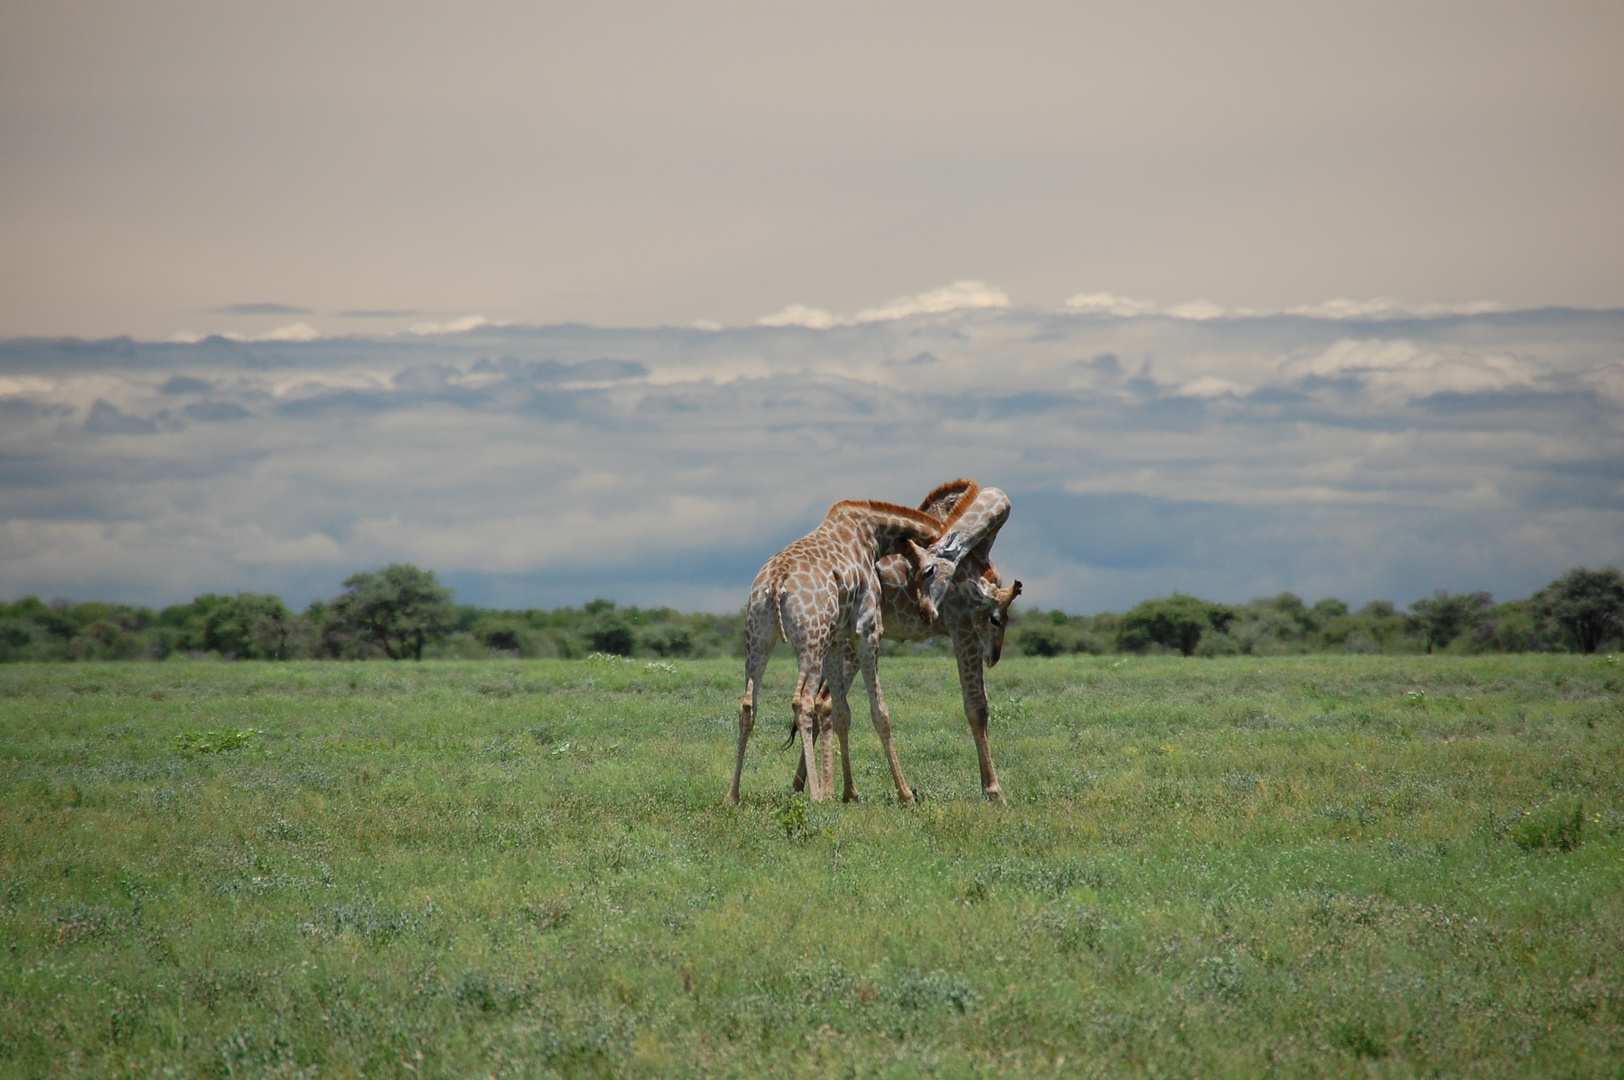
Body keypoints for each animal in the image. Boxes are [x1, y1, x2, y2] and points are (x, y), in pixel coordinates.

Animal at [795, 480, 1019, 799]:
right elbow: (977, 707)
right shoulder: (963, 626)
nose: (994, 656)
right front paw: (993, 790)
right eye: (995, 618)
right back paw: (828, 789)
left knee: (822, 700)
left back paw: (805, 784)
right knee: (825, 700)